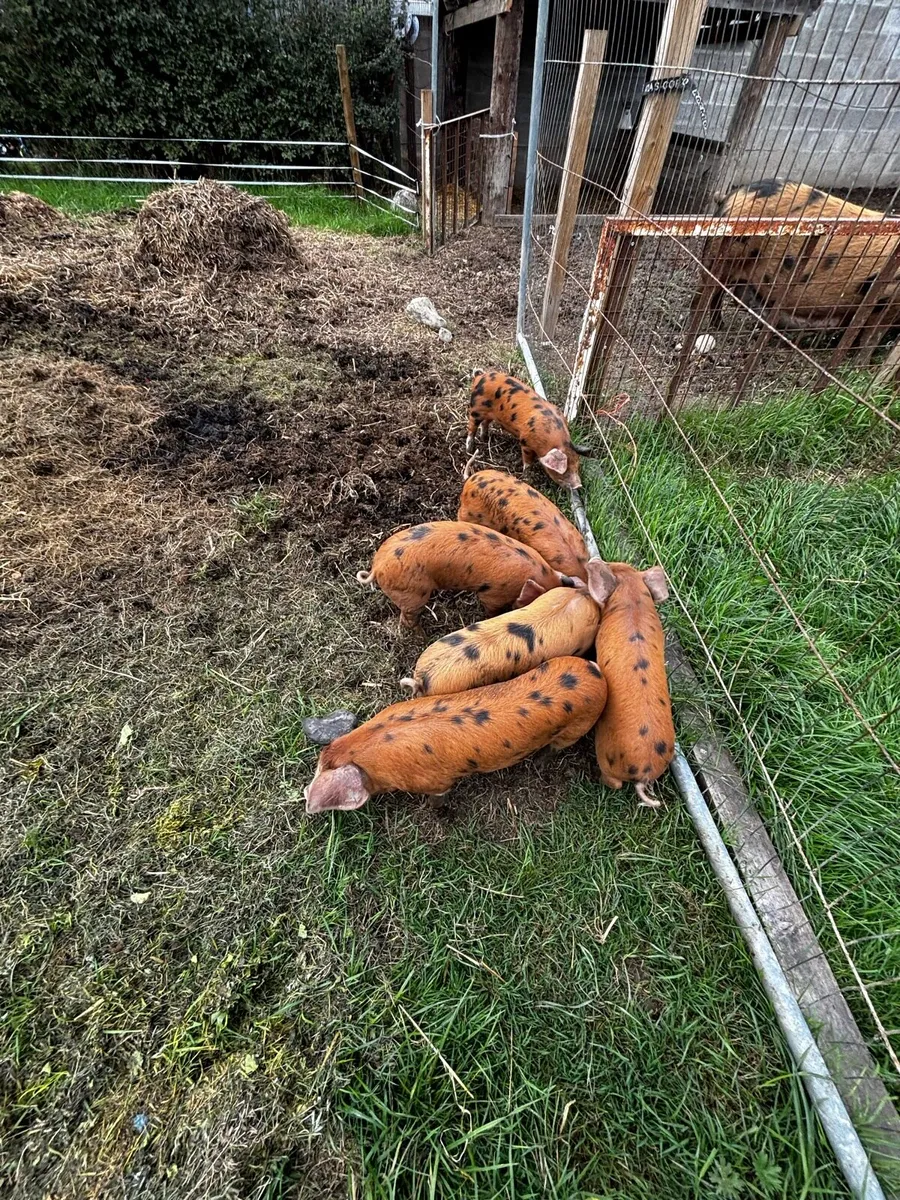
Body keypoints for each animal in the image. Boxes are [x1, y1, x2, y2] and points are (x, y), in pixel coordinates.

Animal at [304, 656, 608, 813]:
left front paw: (433, 811)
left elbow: (439, 797)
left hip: (578, 726)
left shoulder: (438, 781)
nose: (305, 793)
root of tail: (596, 673)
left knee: (556, 747)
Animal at [356, 520, 580, 628]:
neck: (537, 572)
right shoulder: (493, 593)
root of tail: (377, 566)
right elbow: (490, 609)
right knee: (408, 618)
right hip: (413, 593)